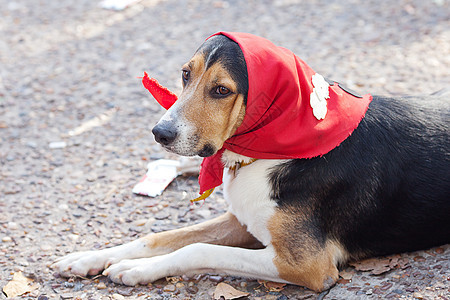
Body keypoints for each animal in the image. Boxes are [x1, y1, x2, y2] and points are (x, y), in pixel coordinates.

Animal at [53, 32, 450, 290]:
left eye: (221, 90)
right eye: (185, 74)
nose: (159, 133)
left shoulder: (306, 265)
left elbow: (195, 248)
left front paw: (134, 269)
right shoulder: (241, 220)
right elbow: (158, 237)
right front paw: (89, 257)